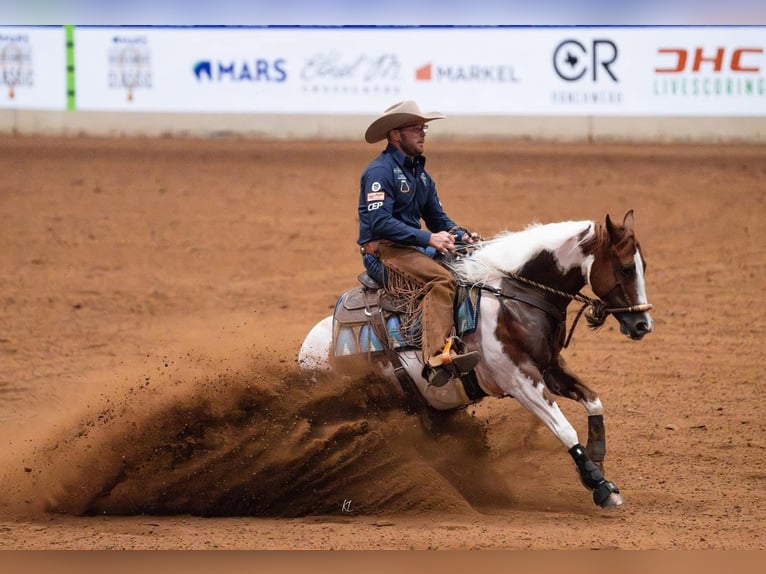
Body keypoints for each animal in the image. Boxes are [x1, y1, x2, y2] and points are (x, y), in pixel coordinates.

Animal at [298, 210, 653, 508]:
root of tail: (307, 352)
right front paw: (601, 486)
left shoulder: (550, 367)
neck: (516, 295)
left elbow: (594, 401)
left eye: (643, 266)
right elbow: (564, 429)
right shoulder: (520, 379)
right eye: (625, 268)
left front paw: (596, 458)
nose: (643, 325)